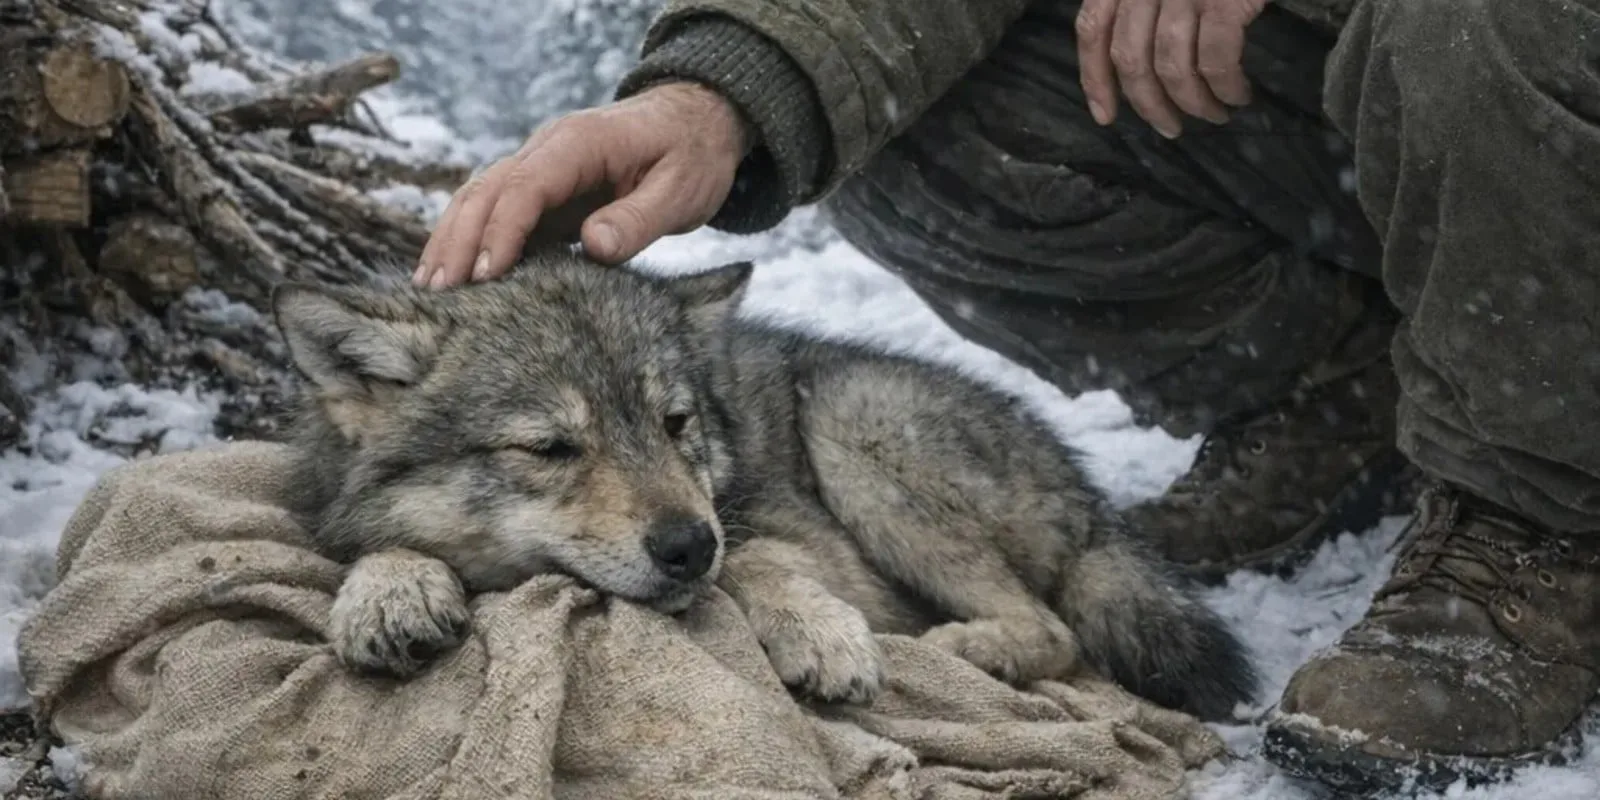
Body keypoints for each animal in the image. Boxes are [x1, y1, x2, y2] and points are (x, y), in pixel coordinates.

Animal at [272, 249, 1259, 721]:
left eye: (675, 424)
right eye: (550, 447)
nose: (686, 546)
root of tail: (1090, 499)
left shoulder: (796, 539)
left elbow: (756, 562)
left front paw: (823, 635)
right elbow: (375, 544)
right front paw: (389, 593)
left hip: (853, 422)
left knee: (1054, 630)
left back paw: (958, 652)